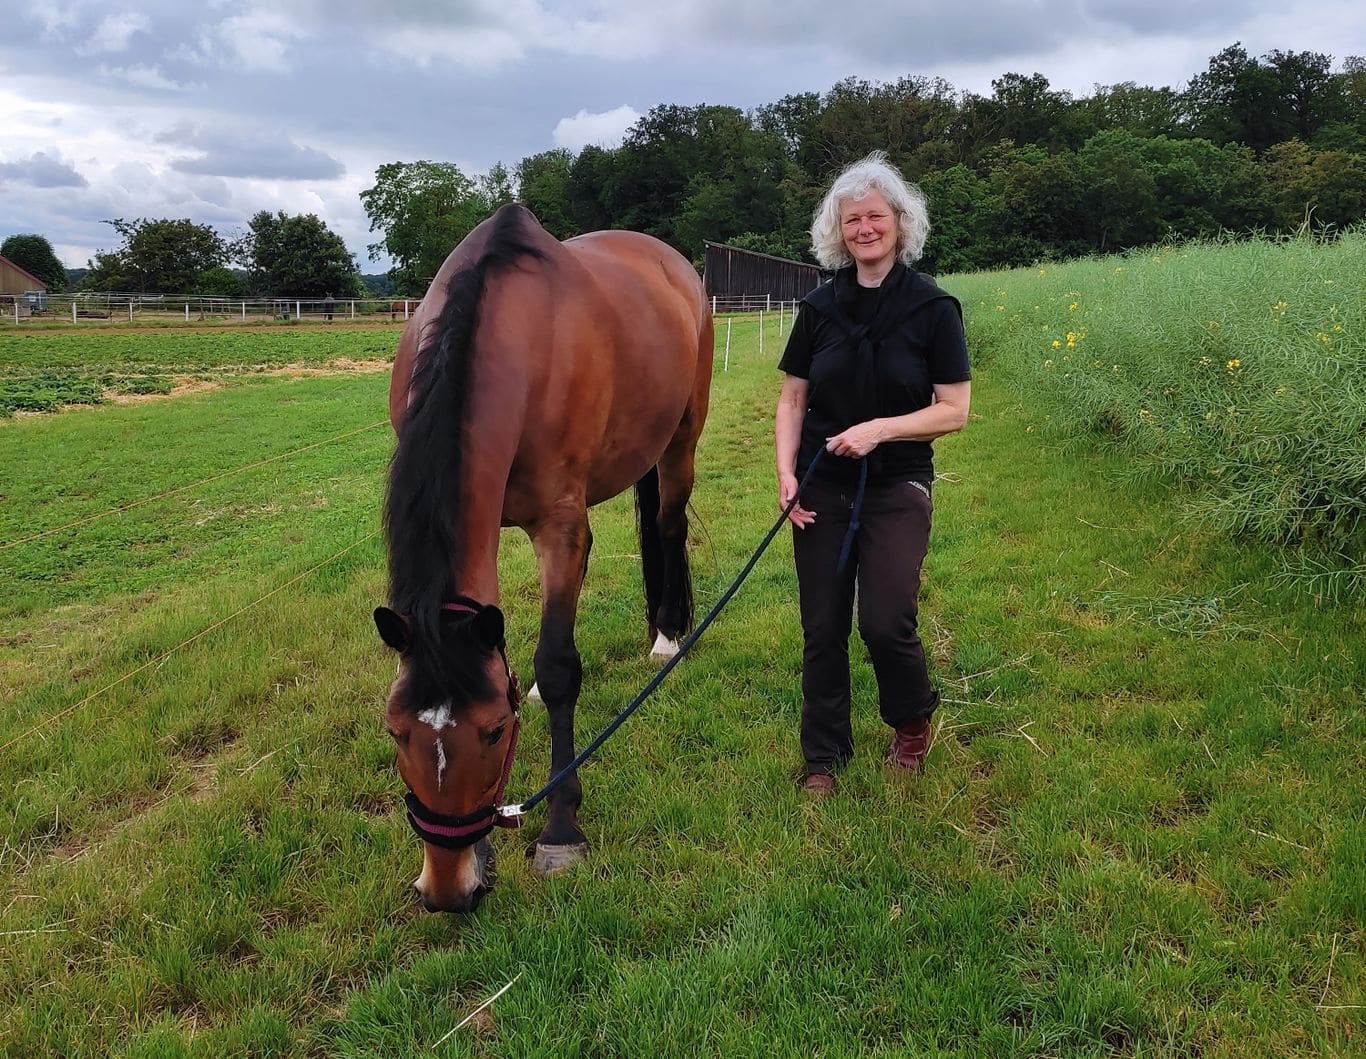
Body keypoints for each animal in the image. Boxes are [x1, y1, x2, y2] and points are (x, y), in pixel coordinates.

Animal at [374, 203, 713, 913]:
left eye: (495, 731)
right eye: (395, 733)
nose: (447, 890)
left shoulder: (559, 526)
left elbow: (558, 667)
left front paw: (561, 831)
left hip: (681, 438)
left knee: (667, 528)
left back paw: (669, 635)